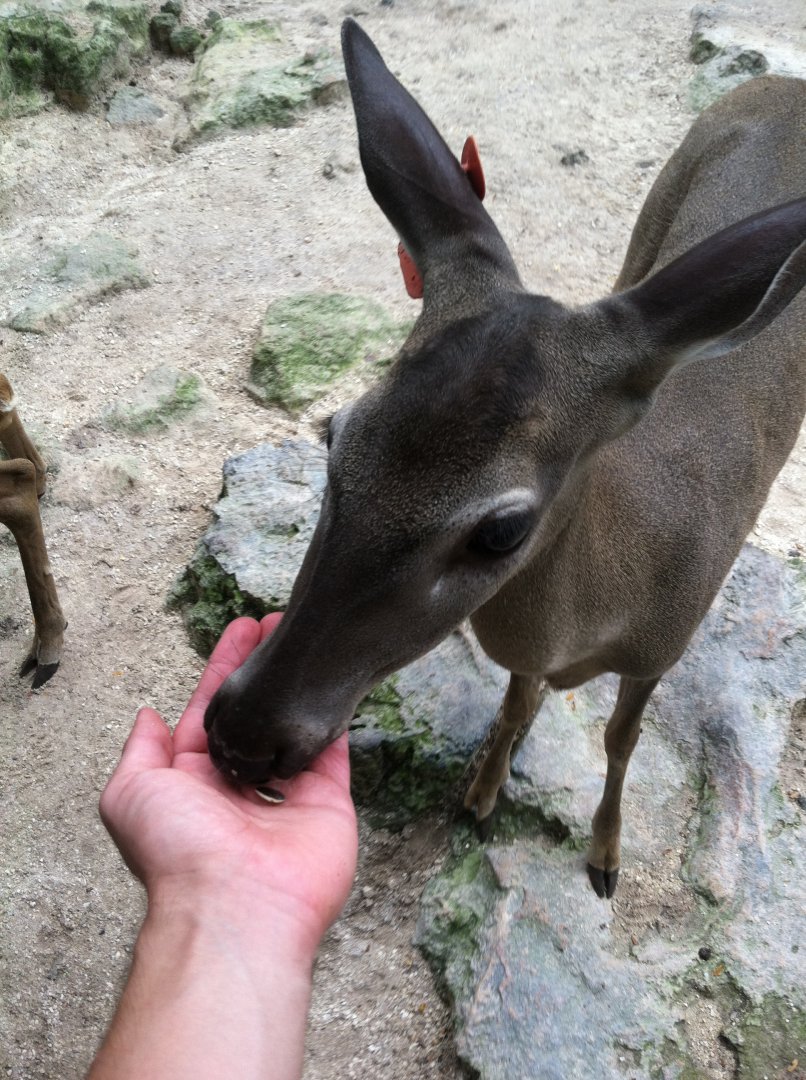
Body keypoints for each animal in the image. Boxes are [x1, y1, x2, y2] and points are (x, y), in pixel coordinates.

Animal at [204, 19, 806, 898]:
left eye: (501, 531)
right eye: (334, 433)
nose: (243, 737)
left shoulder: (666, 644)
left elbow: (621, 740)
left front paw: (605, 857)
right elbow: (519, 705)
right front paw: (482, 794)